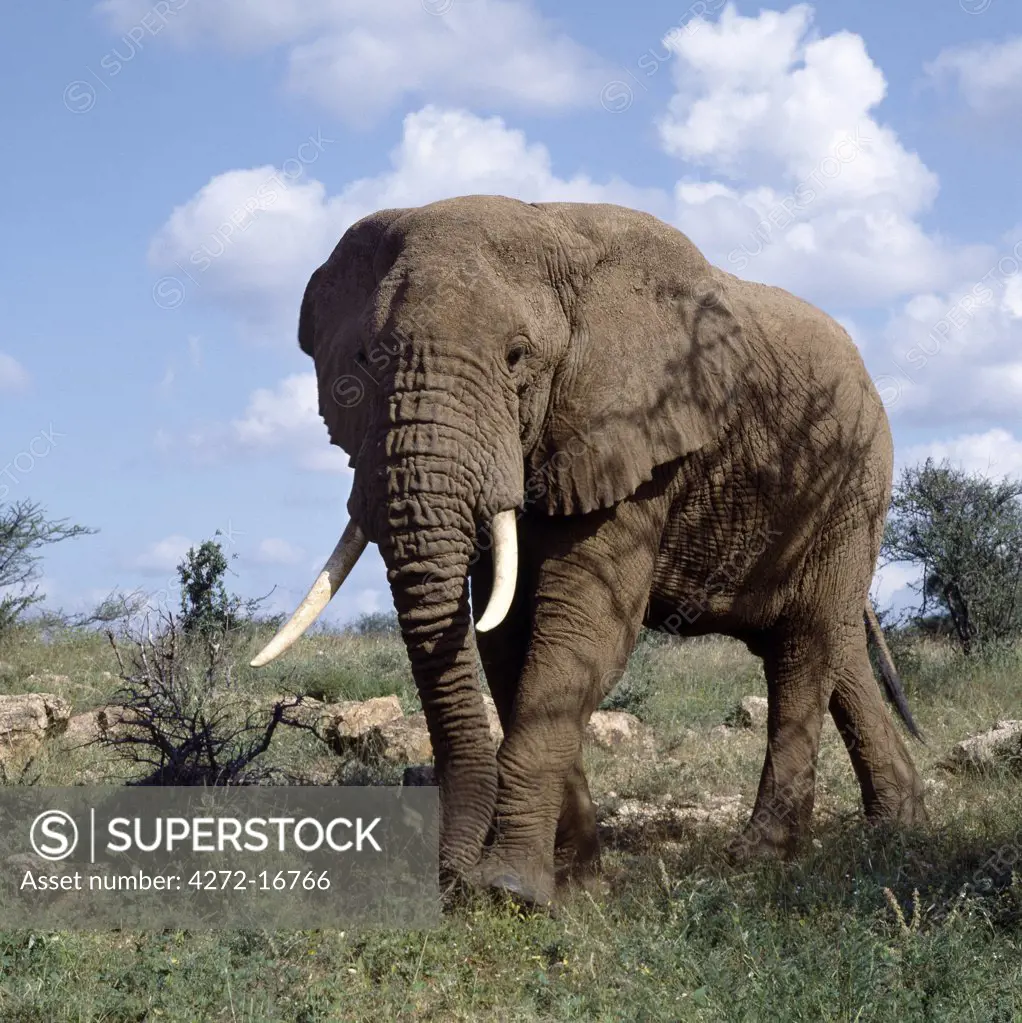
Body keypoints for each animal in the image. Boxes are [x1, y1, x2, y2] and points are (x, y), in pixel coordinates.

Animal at [251, 195, 932, 908]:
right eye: (365, 359)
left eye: (517, 356)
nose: (447, 880)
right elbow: (508, 640)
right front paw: (573, 882)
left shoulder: (636, 433)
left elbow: (581, 633)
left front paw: (511, 890)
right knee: (832, 642)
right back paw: (898, 828)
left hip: (851, 481)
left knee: (802, 647)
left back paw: (761, 859)